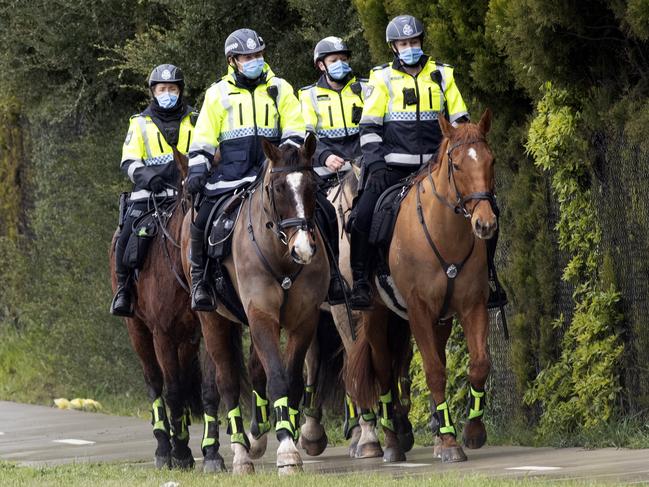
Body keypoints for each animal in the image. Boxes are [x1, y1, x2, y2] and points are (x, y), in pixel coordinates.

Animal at [109, 152, 225, 472]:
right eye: (189, 196)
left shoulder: (206, 329)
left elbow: (208, 389)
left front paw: (211, 453)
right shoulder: (162, 334)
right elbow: (171, 391)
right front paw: (181, 452)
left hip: (186, 340)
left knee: (183, 383)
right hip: (138, 331)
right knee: (154, 383)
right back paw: (164, 447)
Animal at [180, 132, 330, 472]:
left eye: (312, 186)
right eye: (277, 188)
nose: (303, 249)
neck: (281, 256)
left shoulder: (304, 320)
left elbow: (291, 380)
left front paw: (287, 435)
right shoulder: (261, 315)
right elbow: (276, 379)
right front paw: (287, 451)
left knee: (254, 371)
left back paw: (258, 436)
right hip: (213, 321)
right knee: (227, 382)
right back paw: (239, 453)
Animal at [346, 110, 494, 466]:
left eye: (491, 161)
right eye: (457, 166)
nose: (485, 224)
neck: (445, 233)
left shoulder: (472, 306)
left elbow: (479, 364)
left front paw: (471, 431)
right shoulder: (419, 310)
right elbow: (434, 372)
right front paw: (450, 442)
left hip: (441, 321)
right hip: (377, 317)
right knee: (384, 373)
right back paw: (391, 443)